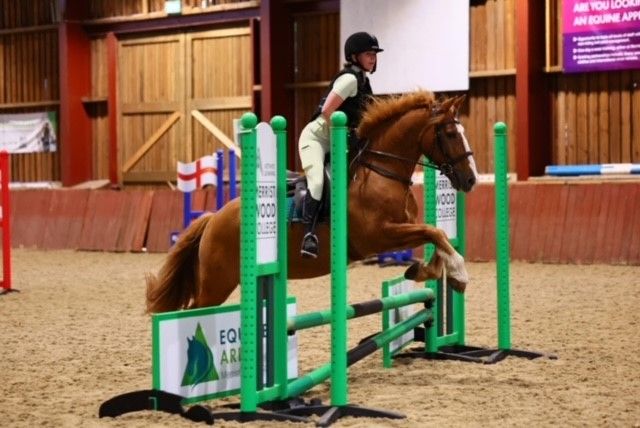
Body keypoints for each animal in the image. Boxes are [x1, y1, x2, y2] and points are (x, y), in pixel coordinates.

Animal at [145, 90, 476, 312]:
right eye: (450, 133)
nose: (471, 180)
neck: (382, 170)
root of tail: (213, 218)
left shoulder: (402, 228)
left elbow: (437, 236)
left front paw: (426, 271)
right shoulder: (378, 236)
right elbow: (435, 232)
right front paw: (459, 274)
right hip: (218, 281)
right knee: (193, 311)